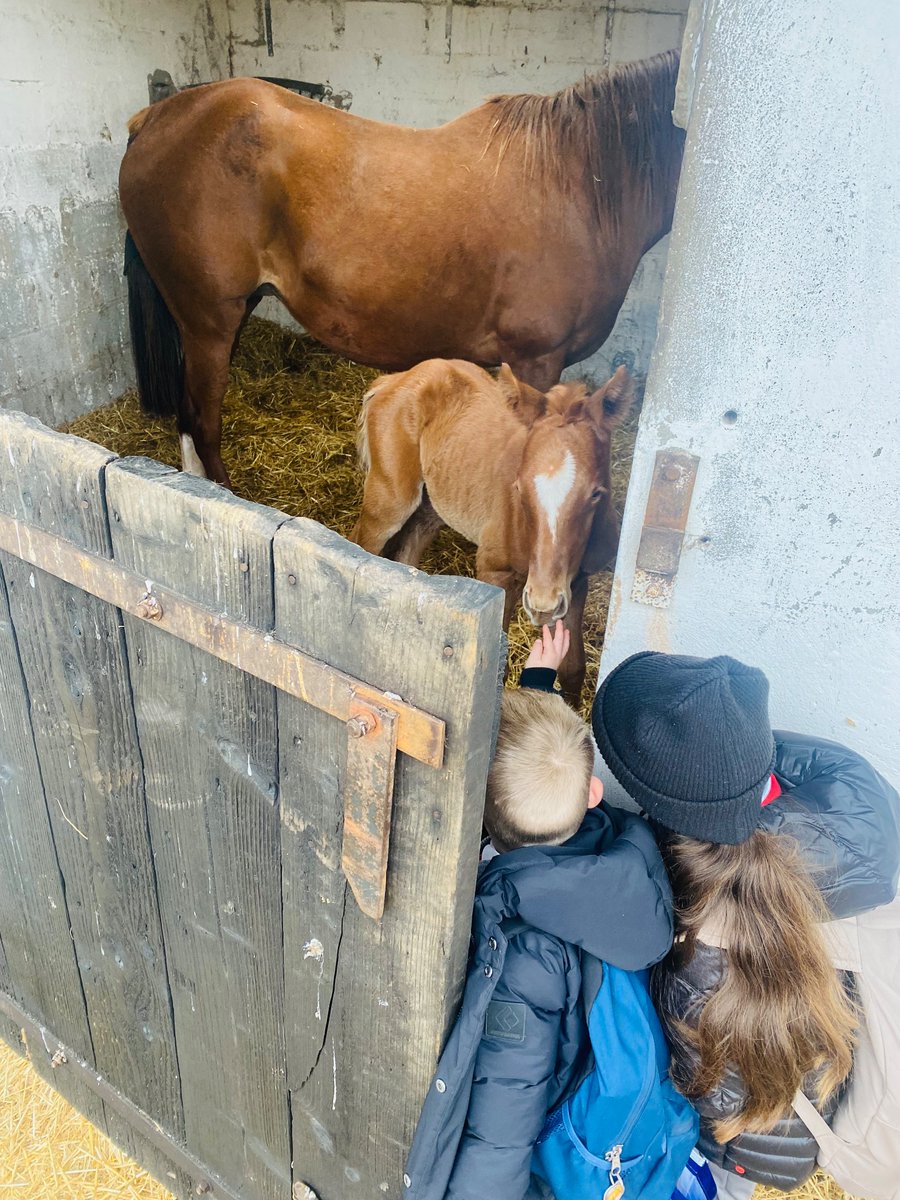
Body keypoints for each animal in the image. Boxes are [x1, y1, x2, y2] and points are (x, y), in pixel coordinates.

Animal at [348, 355, 638, 700]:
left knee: (408, 553)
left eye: (596, 494)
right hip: (391, 498)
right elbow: (496, 669)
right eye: (519, 487)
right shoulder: (496, 574)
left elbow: (573, 668)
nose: (542, 604)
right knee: (361, 543)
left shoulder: (578, 581)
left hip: (433, 506)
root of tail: (396, 378)